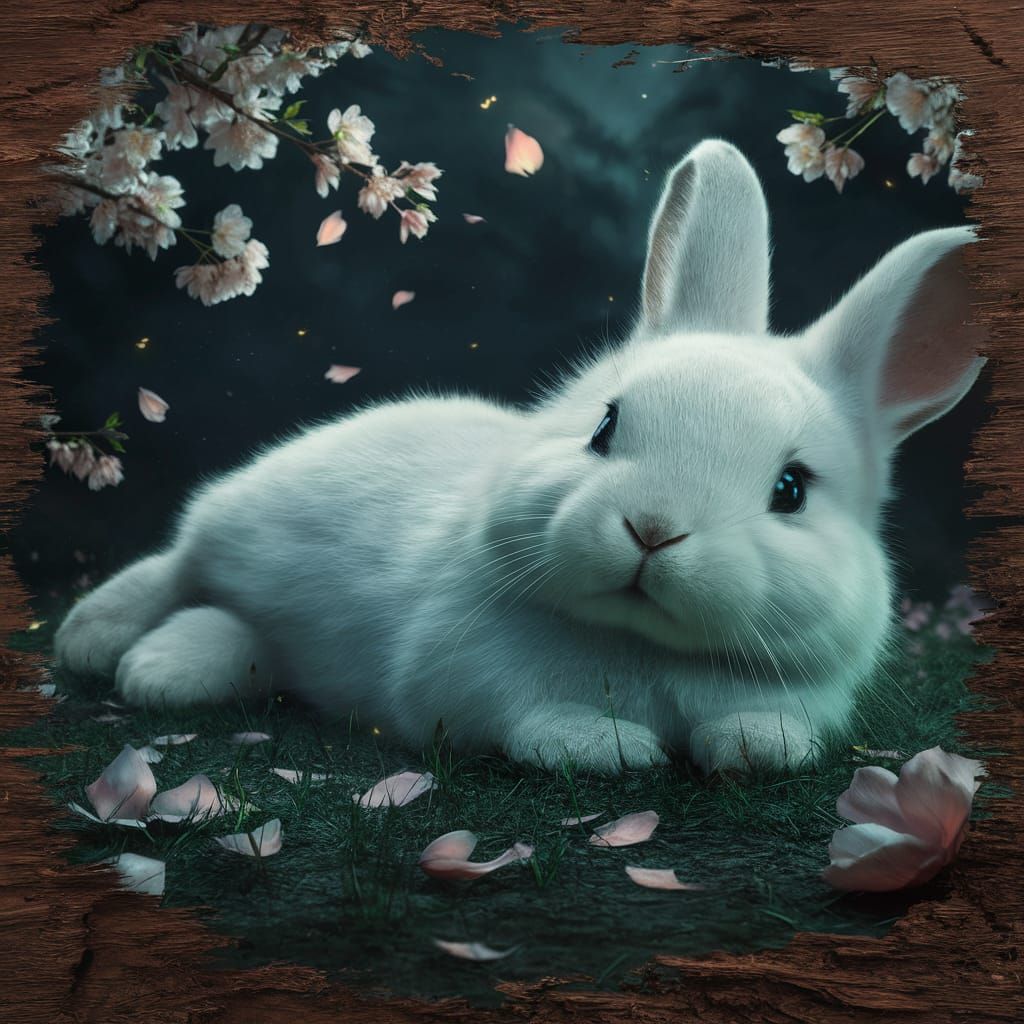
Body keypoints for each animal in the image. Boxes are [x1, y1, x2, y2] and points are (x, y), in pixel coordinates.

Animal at [54, 138, 986, 775]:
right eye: (605, 427)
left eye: (791, 490)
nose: (652, 529)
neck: (639, 644)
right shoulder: (466, 674)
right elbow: (531, 719)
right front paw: (612, 746)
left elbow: (769, 731)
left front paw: (756, 744)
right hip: (240, 517)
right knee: (180, 563)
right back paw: (95, 644)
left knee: (238, 629)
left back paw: (161, 670)